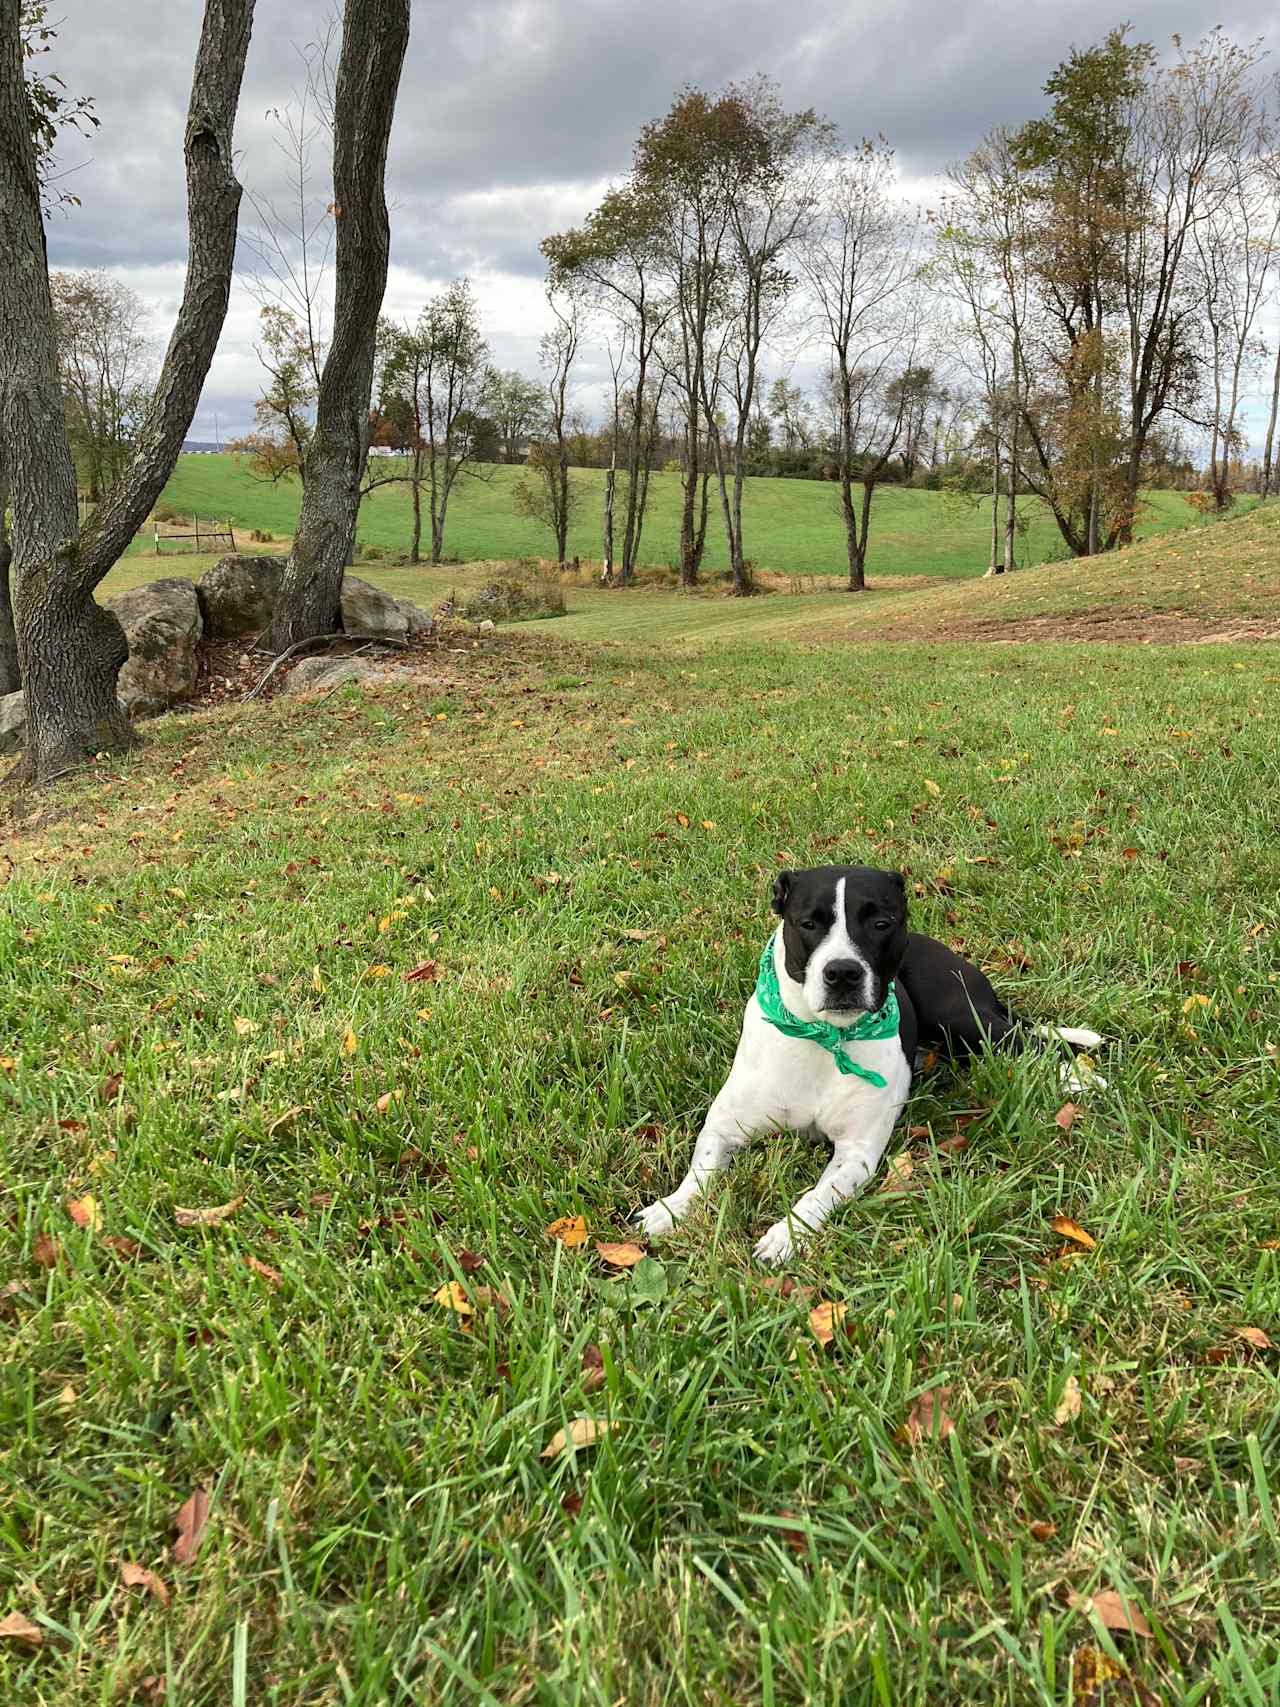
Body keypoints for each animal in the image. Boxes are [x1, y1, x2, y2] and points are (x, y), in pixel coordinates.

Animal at [638, 873, 1099, 1263]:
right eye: (808, 923)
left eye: (880, 923)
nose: (842, 972)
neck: (826, 1039)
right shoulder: (724, 1127)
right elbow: (701, 1173)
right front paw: (670, 1209)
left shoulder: (856, 1152)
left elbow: (816, 1196)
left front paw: (786, 1234)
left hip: (962, 1017)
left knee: (1029, 1041)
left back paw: (1080, 1077)